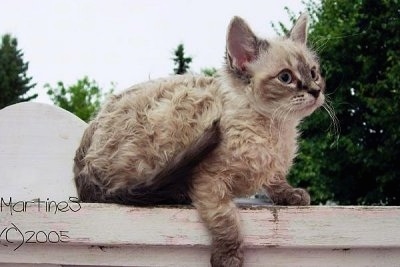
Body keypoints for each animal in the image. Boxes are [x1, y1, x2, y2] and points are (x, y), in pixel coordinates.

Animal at [73, 13, 326, 267]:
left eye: (314, 73)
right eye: (286, 77)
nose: (315, 91)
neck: (274, 130)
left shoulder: (269, 168)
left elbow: (275, 180)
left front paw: (290, 194)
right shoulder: (208, 181)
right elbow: (227, 218)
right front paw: (229, 257)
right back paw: (175, 193)